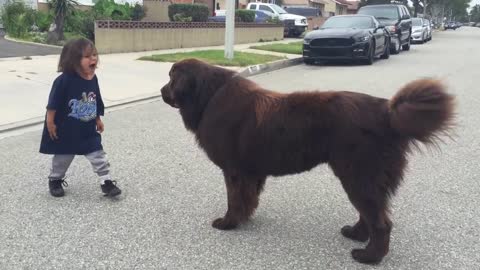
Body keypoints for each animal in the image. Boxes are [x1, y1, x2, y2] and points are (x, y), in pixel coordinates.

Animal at [160, 58, 454, 264]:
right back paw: (356, 234)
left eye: (171, 78)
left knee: (381, 222)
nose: (162, 92)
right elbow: (248, 198)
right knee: (370, 214)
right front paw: (245, 218)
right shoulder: (250, 172)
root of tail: (387, 112)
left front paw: (228, 223)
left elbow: (234, 199)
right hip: (362, 178)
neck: (209, 97)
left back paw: (369, 257)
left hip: (358, 175)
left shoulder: (234, 170)